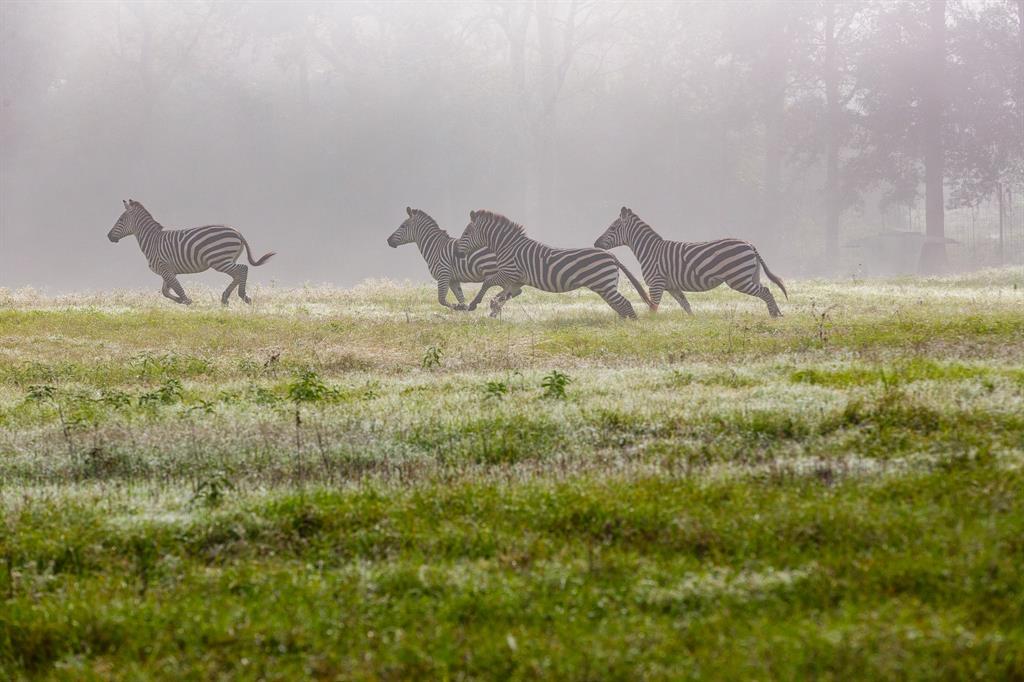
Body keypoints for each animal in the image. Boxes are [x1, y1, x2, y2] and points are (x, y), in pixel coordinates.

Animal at [108, 196, 276, 303]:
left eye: (120, 220)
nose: (108, 236)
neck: (152, 240)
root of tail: (237, 232)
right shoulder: (168, 270)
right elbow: (166, 292)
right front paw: (181, 301)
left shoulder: (165, 268)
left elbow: (177, 289)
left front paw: (187, 301)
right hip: (226, 259)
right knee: (237, 274)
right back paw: (225, 298)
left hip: (219, 259)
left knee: (243, 269)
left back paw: (243, 296)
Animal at [452, 208, 651, 317]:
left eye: (466, 233)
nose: (456, 252)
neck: (508, 246)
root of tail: (611, 255)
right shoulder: (516, 281)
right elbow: (506, 293)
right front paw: (494, 307)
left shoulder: (510, 272)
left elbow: (487, 282)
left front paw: (474, 304)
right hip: (606, 287)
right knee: (620, 306)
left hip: (604, 285)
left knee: (624, 305)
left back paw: (632, 328)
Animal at [589, 206, 786, 315]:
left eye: (613, 228)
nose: (595, 243)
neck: (650, 250)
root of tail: (749, 244)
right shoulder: (672, 286)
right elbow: (687, 307)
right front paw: (692, 324)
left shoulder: (656, 283)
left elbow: (653, 308)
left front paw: (651, 326)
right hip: (751, 276)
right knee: (765, 291)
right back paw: (776, 314)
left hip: (739, 279)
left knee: (766, 291)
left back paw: (775, 316)